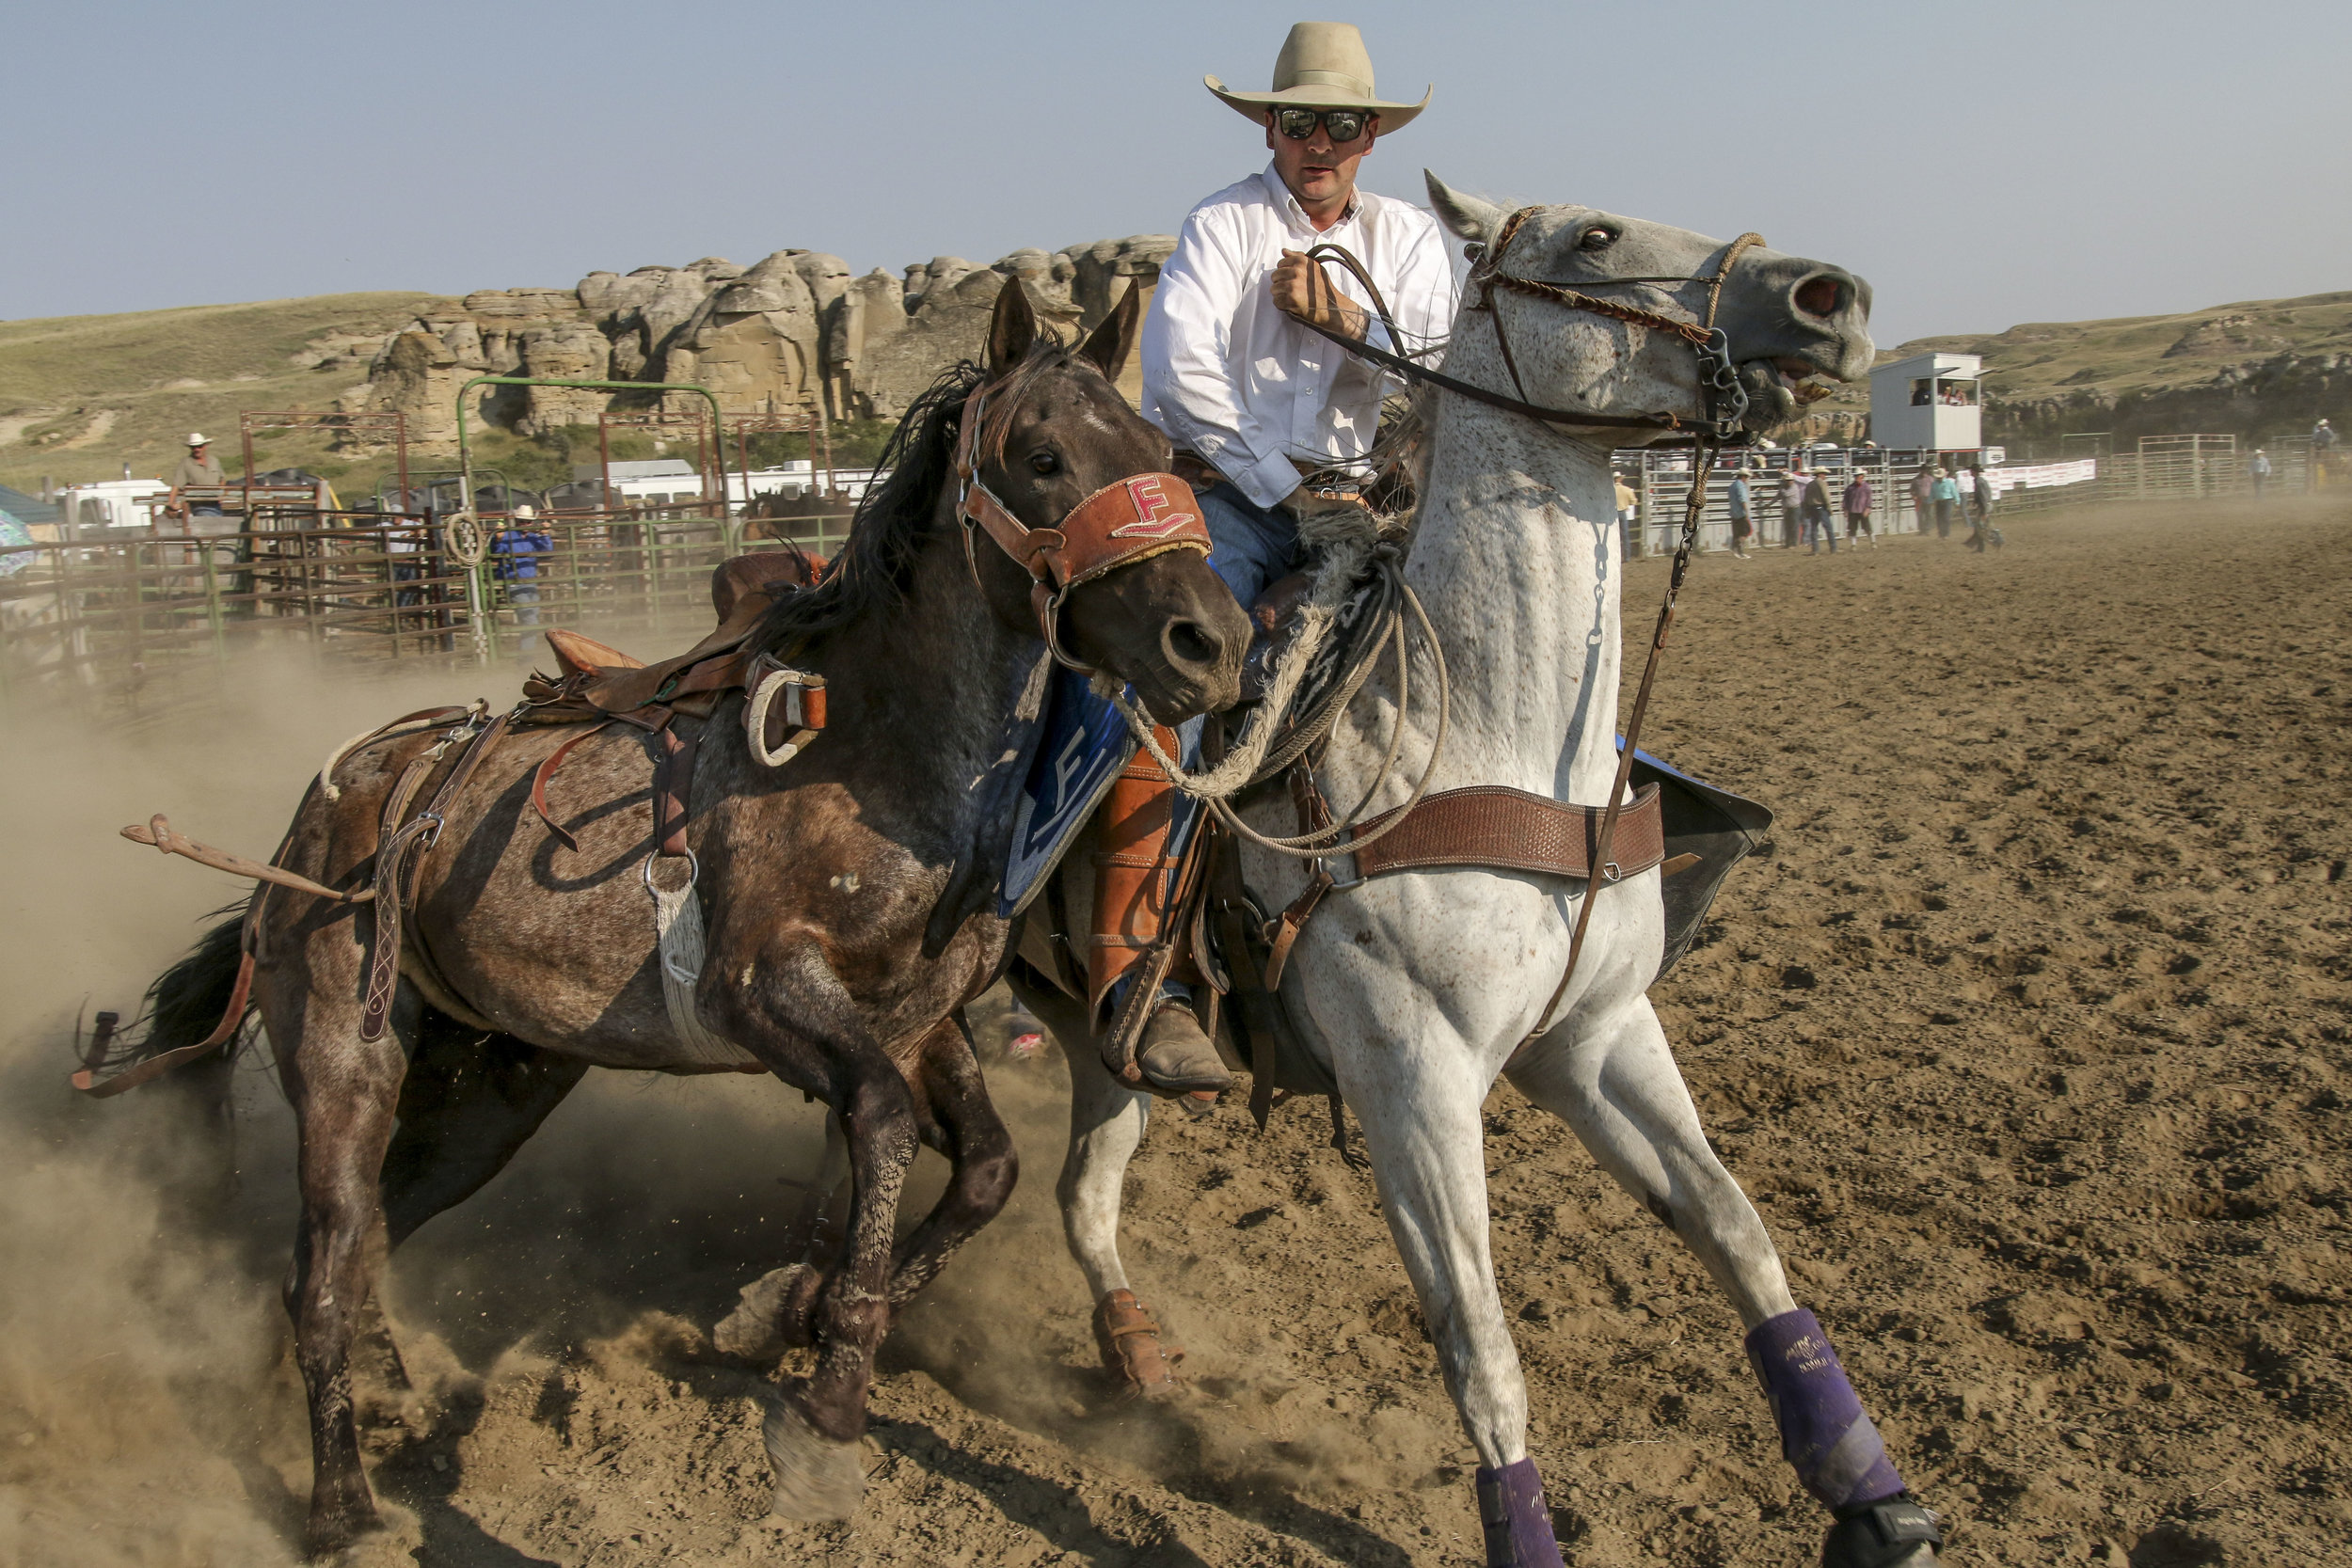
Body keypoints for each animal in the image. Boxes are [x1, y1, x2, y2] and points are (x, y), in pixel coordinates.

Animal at [119, 285, 1251, 1560]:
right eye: (1045, 457)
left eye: (1163, 454)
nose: (1211, 643)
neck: (879, 743)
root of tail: (320, 818)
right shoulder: (762, 994)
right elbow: (881, 1126)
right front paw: (823, 1414)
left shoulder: (917, 1015)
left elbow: (985, 1168)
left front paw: (787, 1312)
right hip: (343, 1054)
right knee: (318, 1267)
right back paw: (342, 1506)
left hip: (489, 1086)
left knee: (368, 1243)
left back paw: (381, 1395)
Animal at [1002, 177, 1938, 1568]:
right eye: (1595, 237)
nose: (1834, 299)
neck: (1486, 739)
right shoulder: (1414, 1076)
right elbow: (1483, 1349)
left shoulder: (1596, 1034)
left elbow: (1740, 1236)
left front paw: (1873, 1498)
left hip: (1100, 1040)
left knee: (1084, 1194)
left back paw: (1134, 1351)